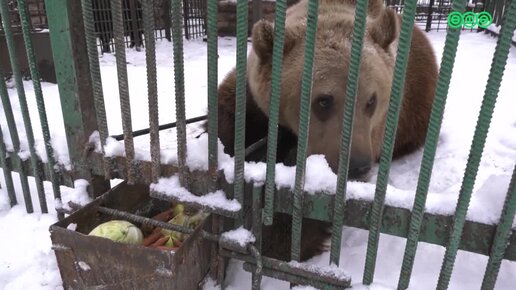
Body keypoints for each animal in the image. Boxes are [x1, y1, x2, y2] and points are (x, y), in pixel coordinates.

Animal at [210, 0, 440, 262]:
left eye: (371, 100)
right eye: (324, 101)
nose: (357, 165)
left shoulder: (379, 130)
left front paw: (276, 239)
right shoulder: (252, 96)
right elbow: (230, 118)